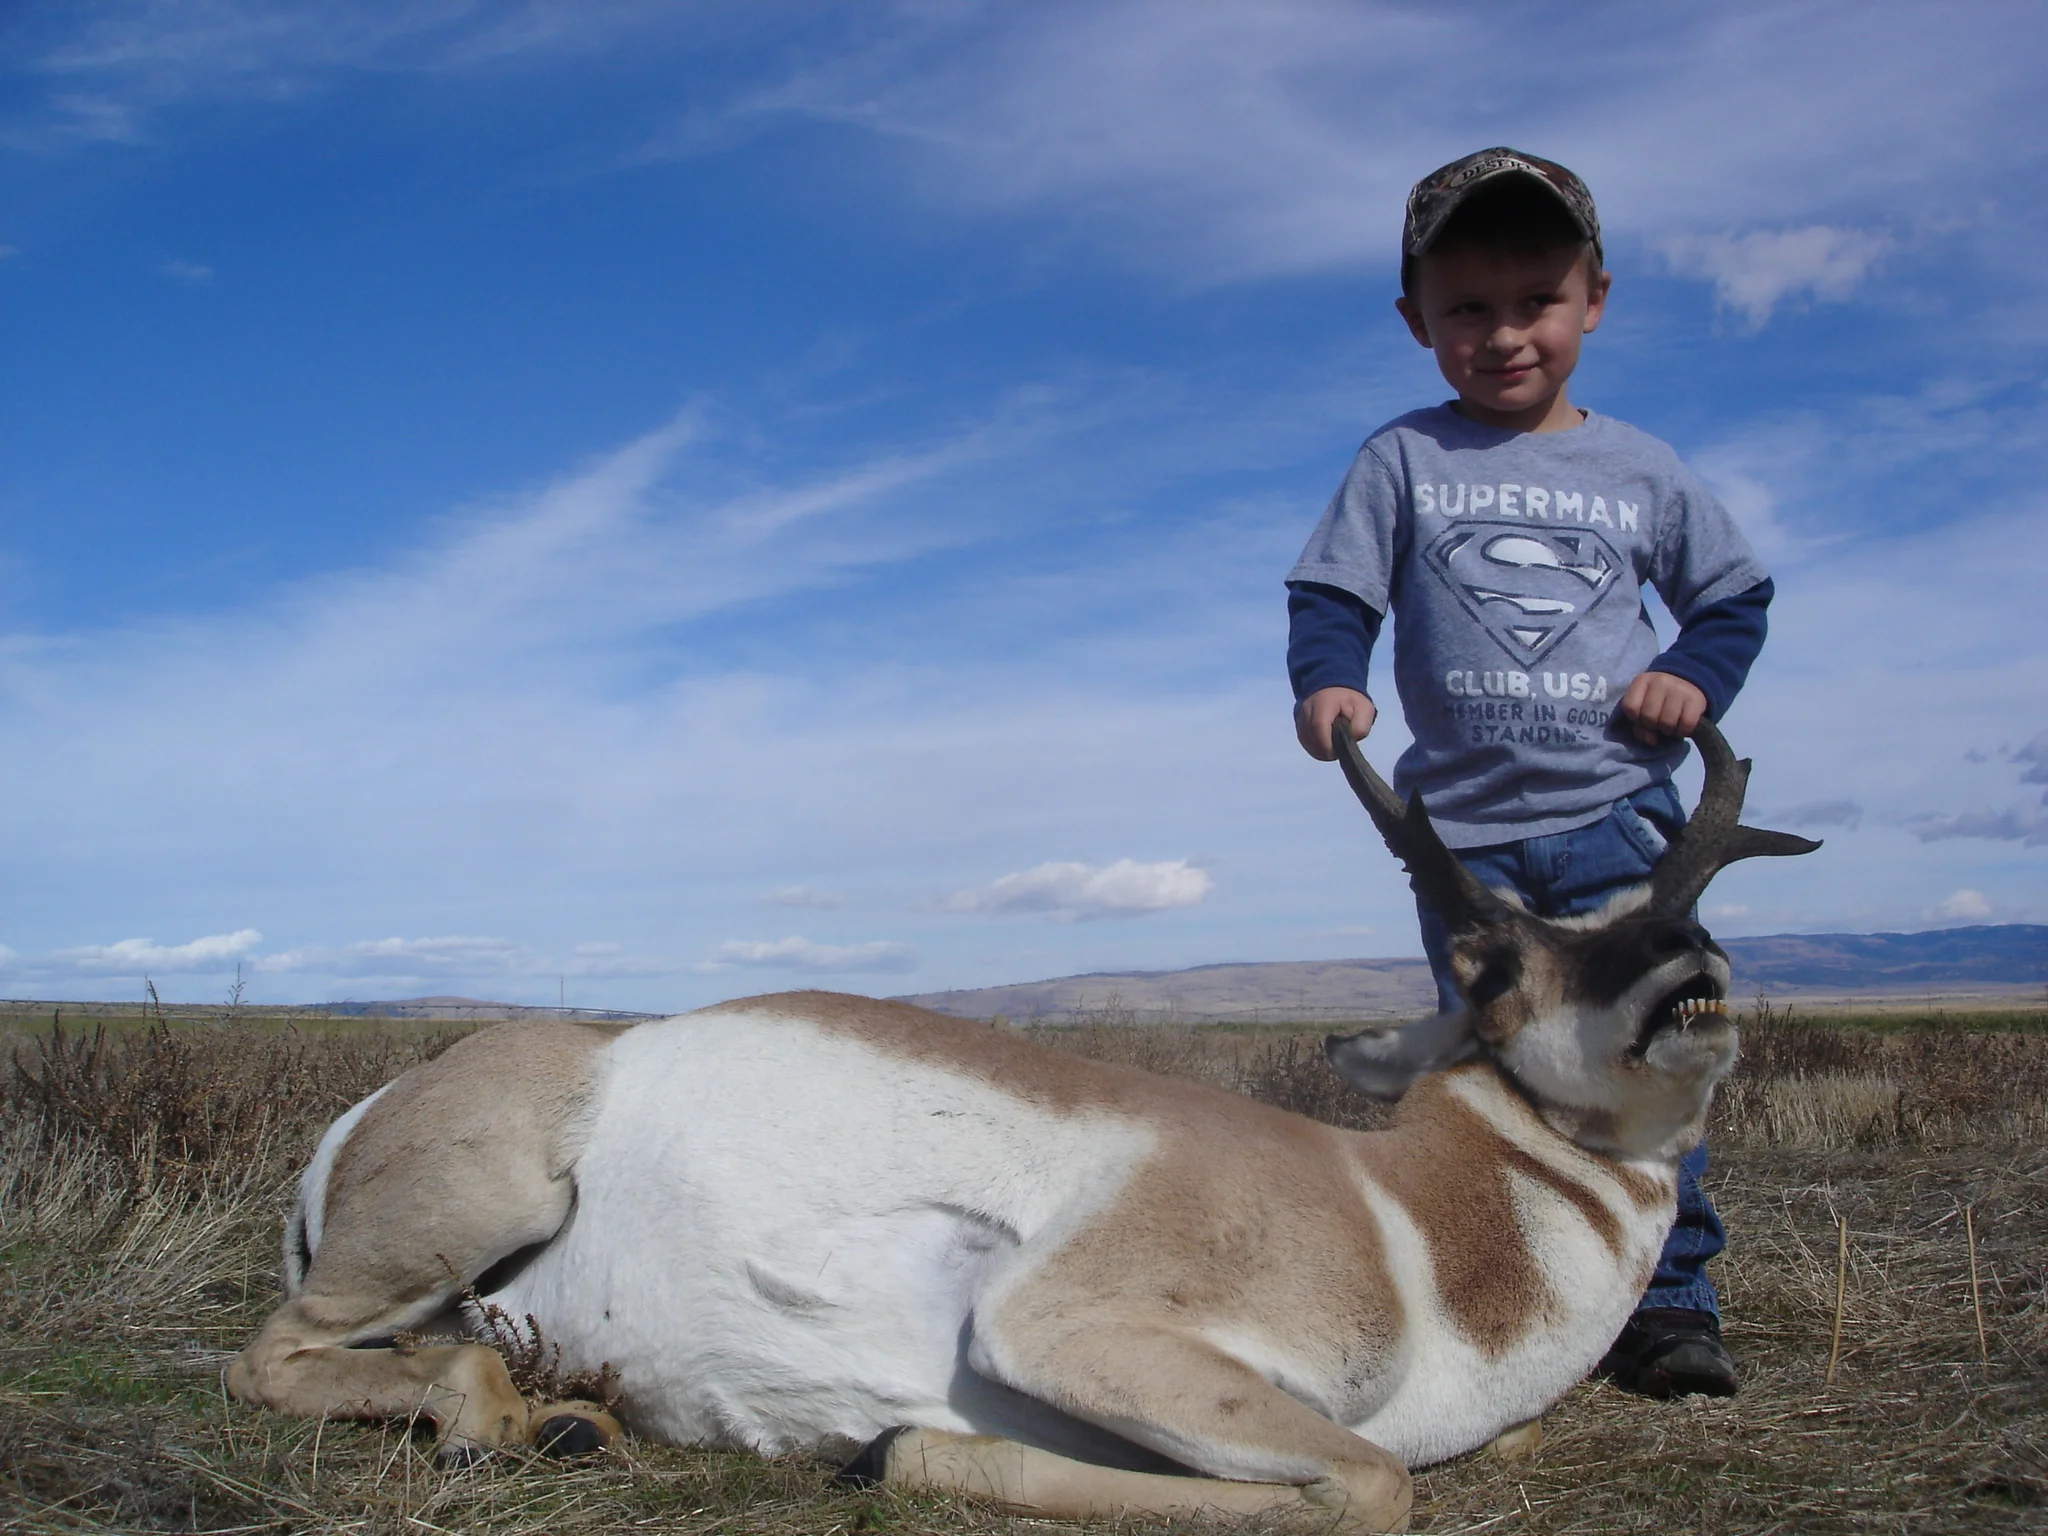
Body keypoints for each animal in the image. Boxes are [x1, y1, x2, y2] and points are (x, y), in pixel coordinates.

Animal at [226, 722, 1816, 1533]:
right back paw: (499, 1426)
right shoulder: (1063, 1331)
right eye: (1488, 965)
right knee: (273, 1360)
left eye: (1648, 912)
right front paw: (887, 1453)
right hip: (480, 1202)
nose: (1687, 961)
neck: (1407, 1215)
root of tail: (377, 1103)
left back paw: (565, 1422)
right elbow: (1364, 1487)